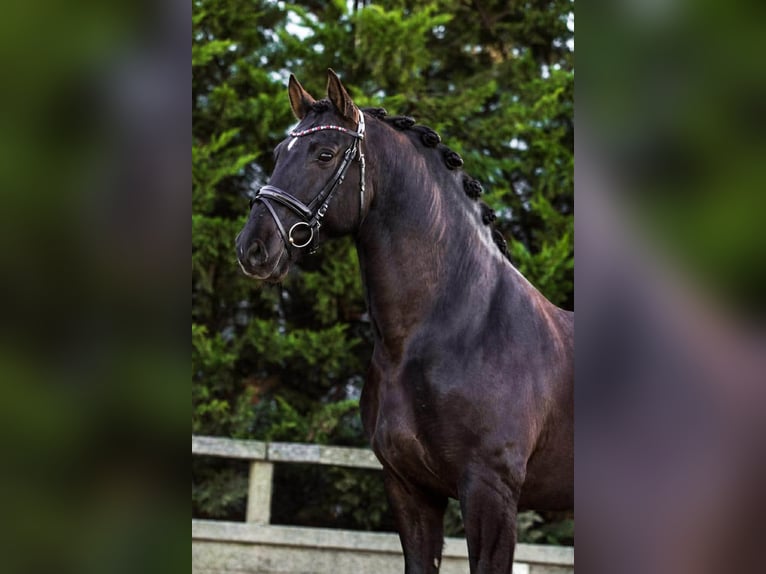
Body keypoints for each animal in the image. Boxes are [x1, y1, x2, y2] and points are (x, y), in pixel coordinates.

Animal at [236, 69, 573, 574]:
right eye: (278, 153)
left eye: (324, 153)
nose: (253, 248)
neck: (459, 330)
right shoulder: (409, 488)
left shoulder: (490, 491)